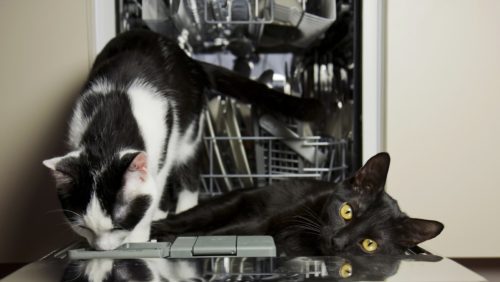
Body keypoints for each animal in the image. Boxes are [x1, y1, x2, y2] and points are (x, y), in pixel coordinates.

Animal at [44, 30, 324, 251]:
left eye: (119, 223)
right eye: (84, 227)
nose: (103, 250)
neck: (110, 123)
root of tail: (190, 61)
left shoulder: (162, 141)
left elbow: (155, 187)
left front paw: (141, 233)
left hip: (189, 131)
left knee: (188, 173)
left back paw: (181, 207)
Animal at [150, 153, 444, 256]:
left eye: (369, 243)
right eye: (347, 211)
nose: (337, 241)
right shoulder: (262, 222)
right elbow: (223, 234)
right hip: (224, 206)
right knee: (184, 220)